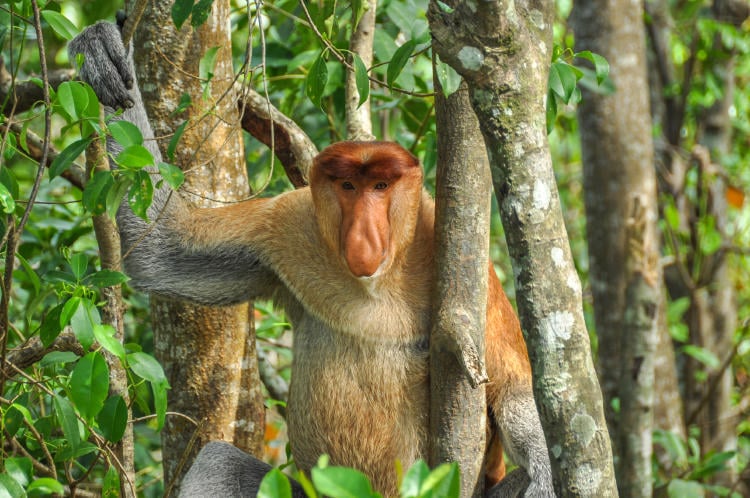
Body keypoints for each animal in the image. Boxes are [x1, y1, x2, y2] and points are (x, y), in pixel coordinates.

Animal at [69, 22, 554, 498]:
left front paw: (544, 475)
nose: (362, 237)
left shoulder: (467, 270)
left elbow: (514, 390)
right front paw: (101, 50)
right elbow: (164, 250)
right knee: (217, 461)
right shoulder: (285, 223)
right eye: (347, 186)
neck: (375, 282)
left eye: (381, 186)